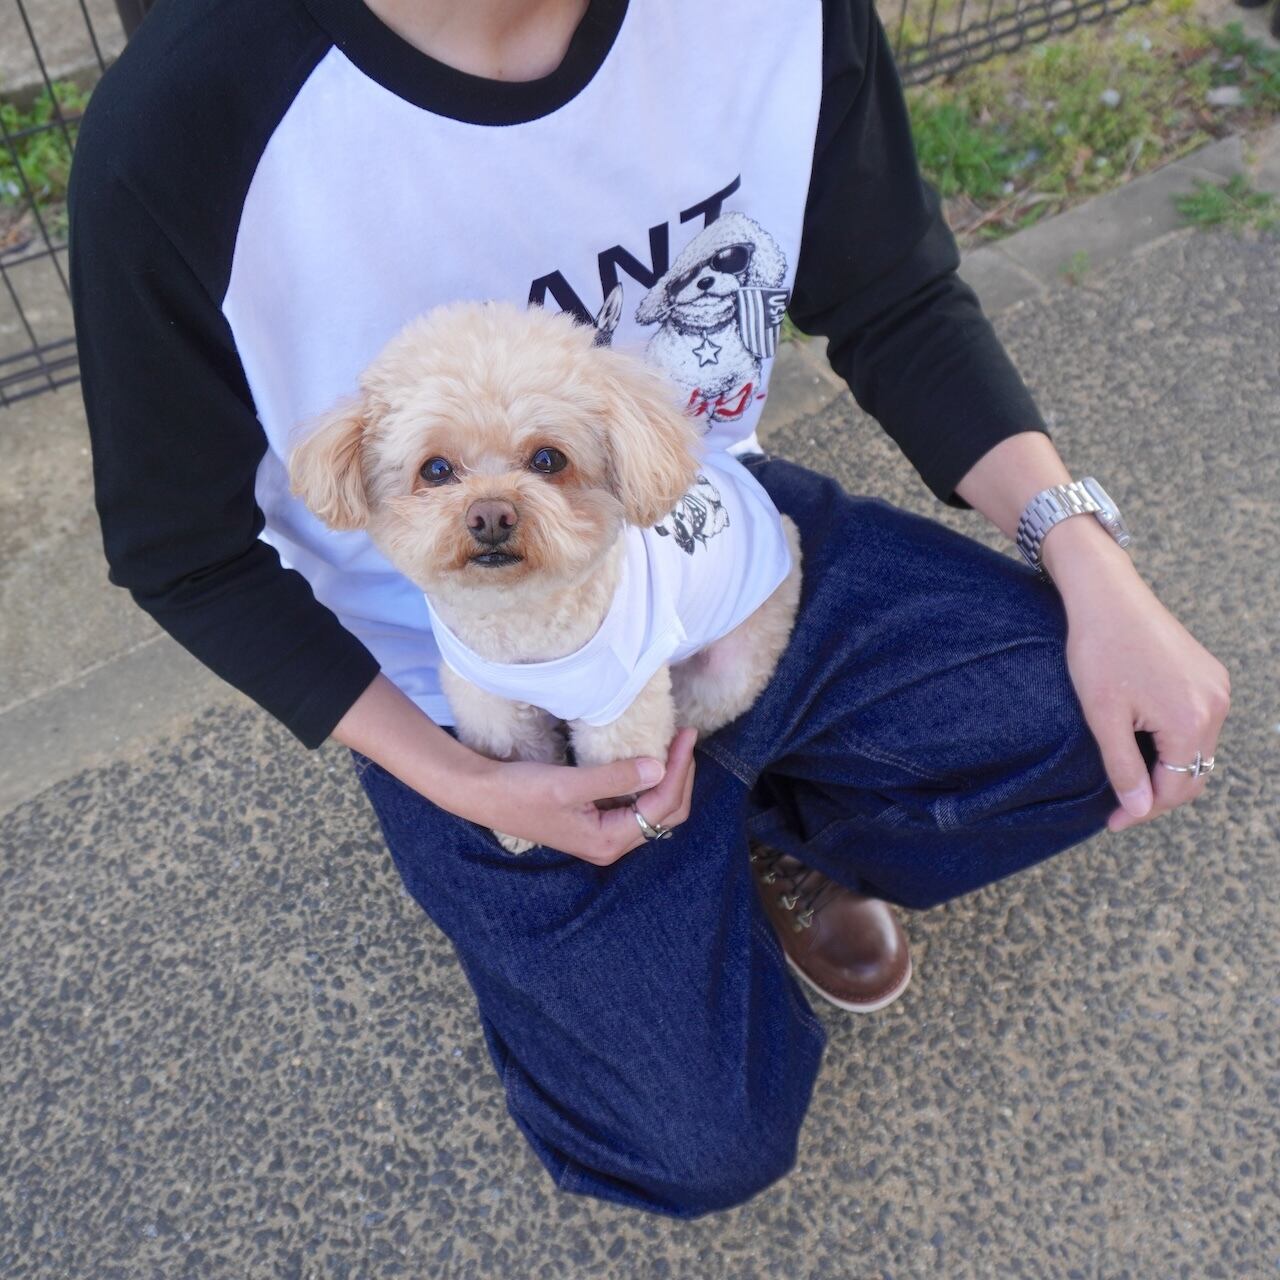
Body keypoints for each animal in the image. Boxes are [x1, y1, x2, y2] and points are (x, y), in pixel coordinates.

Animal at [289, 301, 801, 852]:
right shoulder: (488, 700)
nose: (491, 515)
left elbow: (619, 766)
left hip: (729, 669)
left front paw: (620, 811)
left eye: (548, 459)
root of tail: (783, 528)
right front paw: (519, 829)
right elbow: (520, 757)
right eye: (436, 469)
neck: (522, 623)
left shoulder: (621, 710)